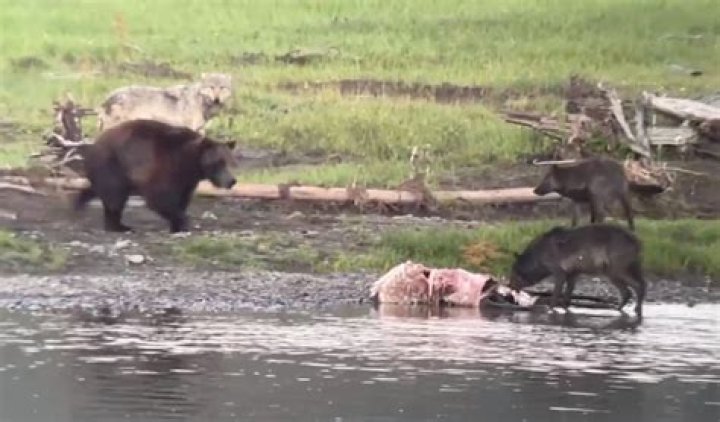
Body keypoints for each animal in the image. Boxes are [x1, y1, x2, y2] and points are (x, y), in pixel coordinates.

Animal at [73, 119, 237, 233]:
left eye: (230, 162)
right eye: (219, 162)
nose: (231, 181)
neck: (190, 164)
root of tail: (94, 144)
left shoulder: (187, 181)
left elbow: (182, 199)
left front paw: (177, 226)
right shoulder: (164, 167)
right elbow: (160, 197)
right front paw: (183, 222)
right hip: (113, 166)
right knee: (115, 197)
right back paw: (119, 226)